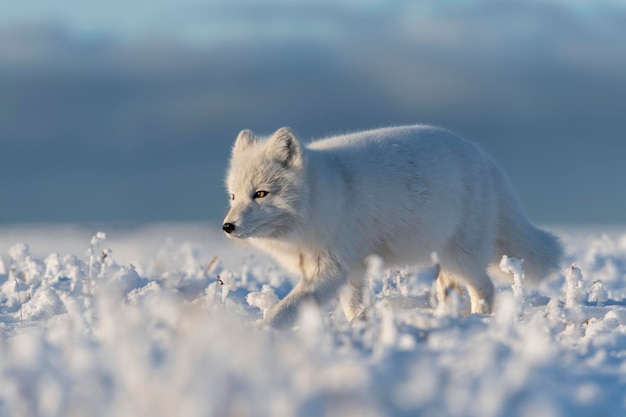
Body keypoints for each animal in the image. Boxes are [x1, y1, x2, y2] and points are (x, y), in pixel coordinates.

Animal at [223, 125, 560, 326]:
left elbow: (286, 308)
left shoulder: (331, 268)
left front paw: (262, 331)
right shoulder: (352, 269)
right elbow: (353, 305)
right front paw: (359, 325)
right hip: (446, 257)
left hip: (463, 255)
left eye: (261, 193)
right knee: (448, 284)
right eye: (233, 195)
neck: (327, 192)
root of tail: (485, 159)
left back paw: (477, 321)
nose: (228, 227)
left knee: (485, 287)